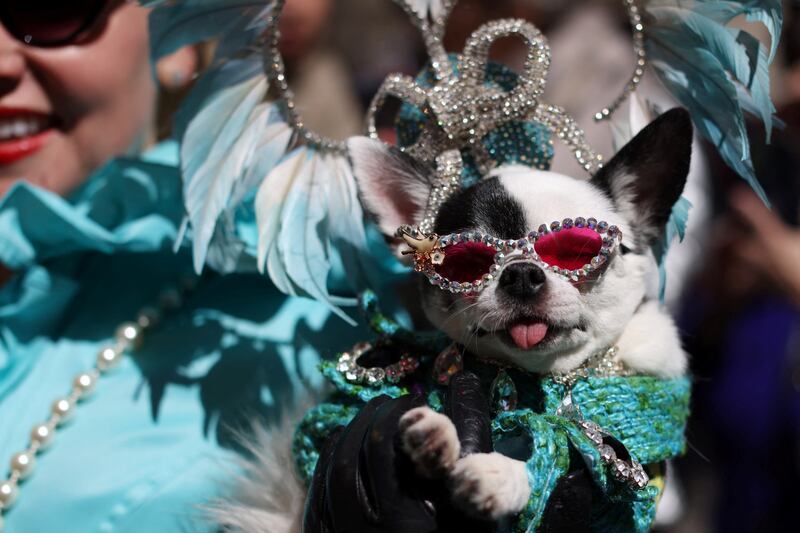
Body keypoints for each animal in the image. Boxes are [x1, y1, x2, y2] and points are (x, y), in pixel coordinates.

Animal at [350, 108, 692, 520]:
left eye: (576, 250)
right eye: (466, 262)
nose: (522, 274)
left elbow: (567, 455)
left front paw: (501, 475)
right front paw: (440, 435)